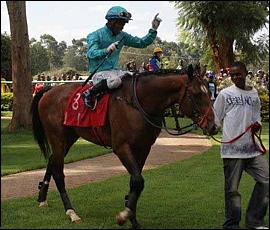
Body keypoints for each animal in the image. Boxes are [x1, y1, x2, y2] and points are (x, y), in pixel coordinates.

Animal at [30, 64, 218, 228]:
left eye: (209, 92)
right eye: (195, 94)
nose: (213, 126)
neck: (137, 103)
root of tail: (48, 90)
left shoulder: (144, 147)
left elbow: (135, 182)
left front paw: (132, 218)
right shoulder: (121, 147)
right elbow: (138, 180)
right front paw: (124, 215)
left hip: (69, 137)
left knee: (52, 161)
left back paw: (42, 198)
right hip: (57, 137)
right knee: (59, 173)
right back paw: (71, 212)